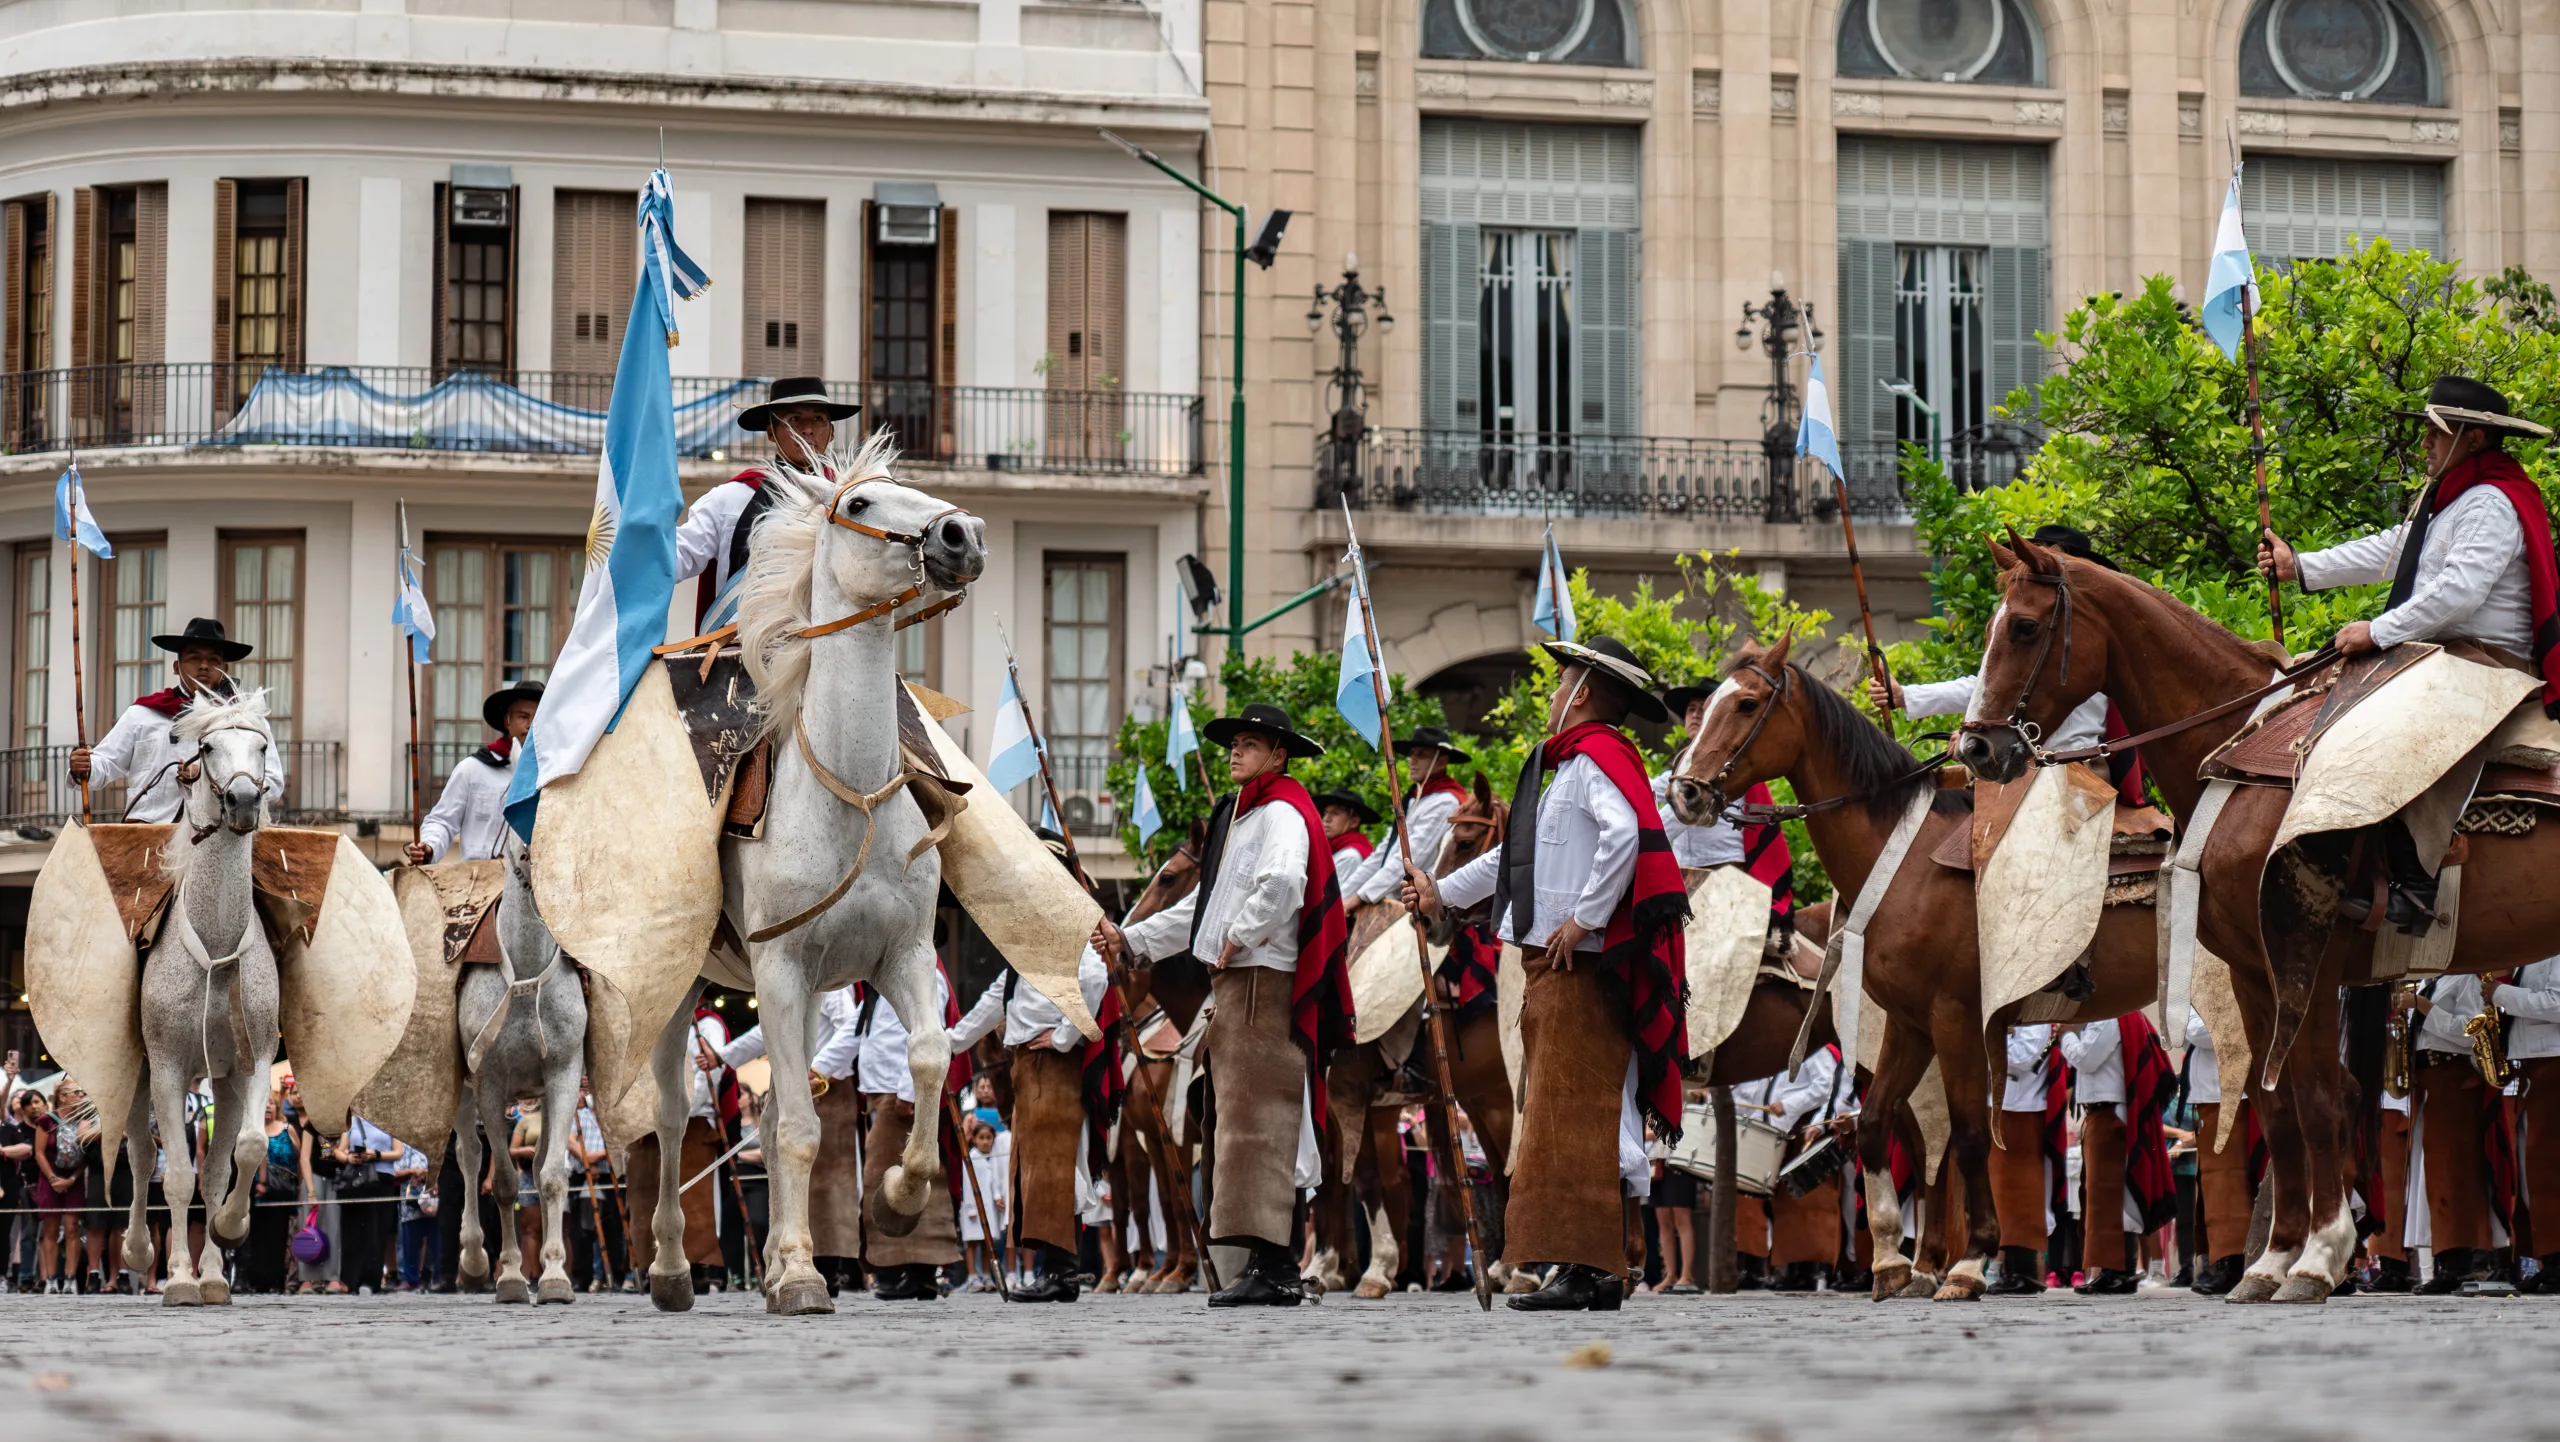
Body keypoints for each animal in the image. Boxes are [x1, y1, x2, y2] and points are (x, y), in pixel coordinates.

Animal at [121, 691, 282, 1311]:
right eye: (207, 747)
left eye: (262, 745)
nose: (242, 800)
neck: (214, 944)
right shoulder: (167, 1068)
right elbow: (176, 1176)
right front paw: (179, 1280)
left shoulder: (251, 1064)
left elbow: (244, 1151)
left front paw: (229, 1235)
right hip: (139, 1074)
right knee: (141, 1157)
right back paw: (140, 1253)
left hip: (220, 1082)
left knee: (213, 1168)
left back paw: (213, 1274)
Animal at [453, 824, 591, 1311]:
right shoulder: (489, 1083)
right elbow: (506, 1184)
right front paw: (511, 1277)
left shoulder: (564, 1074)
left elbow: (549, 1176)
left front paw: (554, 1277)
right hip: (463, 1093)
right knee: (470, 1158)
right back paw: (474, 1260)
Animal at [645, 435, 983, 1311]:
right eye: (860, 503)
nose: (961, 534)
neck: (849, 791)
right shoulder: (781, 966)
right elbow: (797, 1126)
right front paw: (801, 1275)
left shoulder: (900, 956)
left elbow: (926, 1059)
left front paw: (898, 1198)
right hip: (680, 987)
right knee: (670, 1116)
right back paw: (667, 1269)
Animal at [1658, 637, 2160, 1301]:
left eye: (1744, 704)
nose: (1685, 793)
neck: (1905, 864)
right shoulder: (1910, 1022)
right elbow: (1876, 1126)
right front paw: (1892, 1261)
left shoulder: (1958, 1018)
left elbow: (1971, 1135)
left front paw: (1970, 1263)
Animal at [1935, 535, 2560, 1301]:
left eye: (2024, 628)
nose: (1975, 749)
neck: (2232, 761)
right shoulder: (2252, 973)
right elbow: (2279, 1108)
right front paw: (2272, 1260)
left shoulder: (2307, 960)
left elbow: (2323, 1098)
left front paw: (2320, 1257)